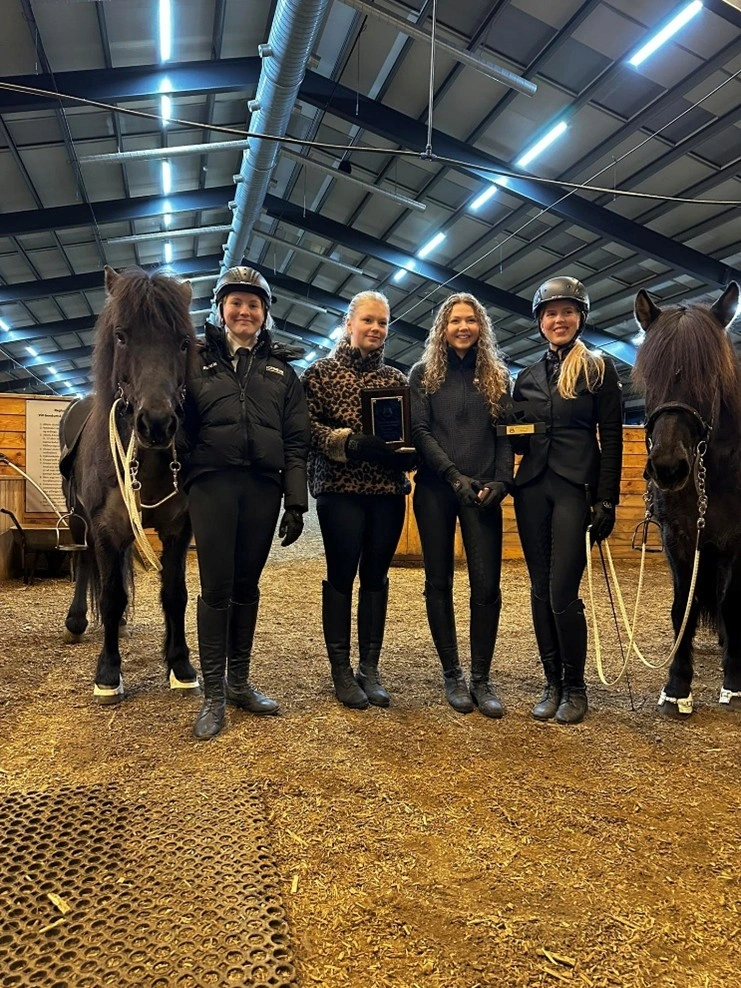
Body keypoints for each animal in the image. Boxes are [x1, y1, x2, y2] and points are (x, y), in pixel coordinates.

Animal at [58, 265, 200, 704]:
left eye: (184, 342)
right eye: (121, 336)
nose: (156, 424)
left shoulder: (177, 529)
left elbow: (174, 593)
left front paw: (179, 664)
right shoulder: (106, 527)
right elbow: (110, 595)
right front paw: (108, 673)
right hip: (79, 520)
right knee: (86, 565)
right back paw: (76, 620)